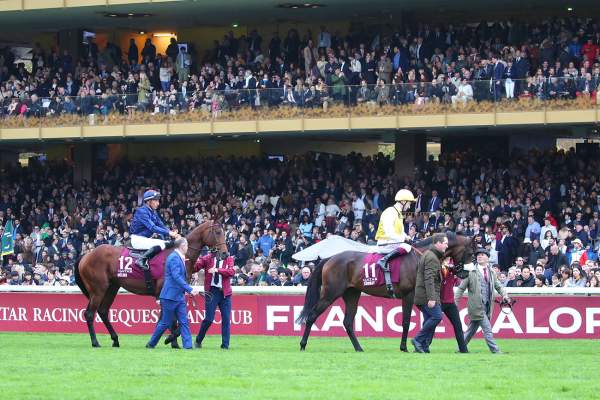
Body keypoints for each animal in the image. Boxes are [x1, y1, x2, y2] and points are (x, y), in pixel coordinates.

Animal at [72, 220, 227, 348]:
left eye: (224, 232)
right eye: (218, 232)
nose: (225, 254)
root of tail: (86, 255)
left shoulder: (174, 292)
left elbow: (167, 318)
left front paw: (171, 342)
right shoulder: (163, 292)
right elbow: (168, 318)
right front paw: (170, 339)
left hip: (112, 288)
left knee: (103, 311)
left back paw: (115, 340)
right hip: (98, 289)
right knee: (89, 314)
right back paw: (95, 342)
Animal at [296, 233, 474, 352]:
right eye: (471, 253)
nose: (465, 273)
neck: (419, 257)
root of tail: (329, 259)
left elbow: (428, 319)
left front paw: (421, 344)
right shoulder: (409, 295)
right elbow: (406, 321)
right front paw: (404, 347)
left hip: (352, 294)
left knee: (347, 322)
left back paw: (359, 348)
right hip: (330, 293)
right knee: (312, 315)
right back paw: (303, 344)